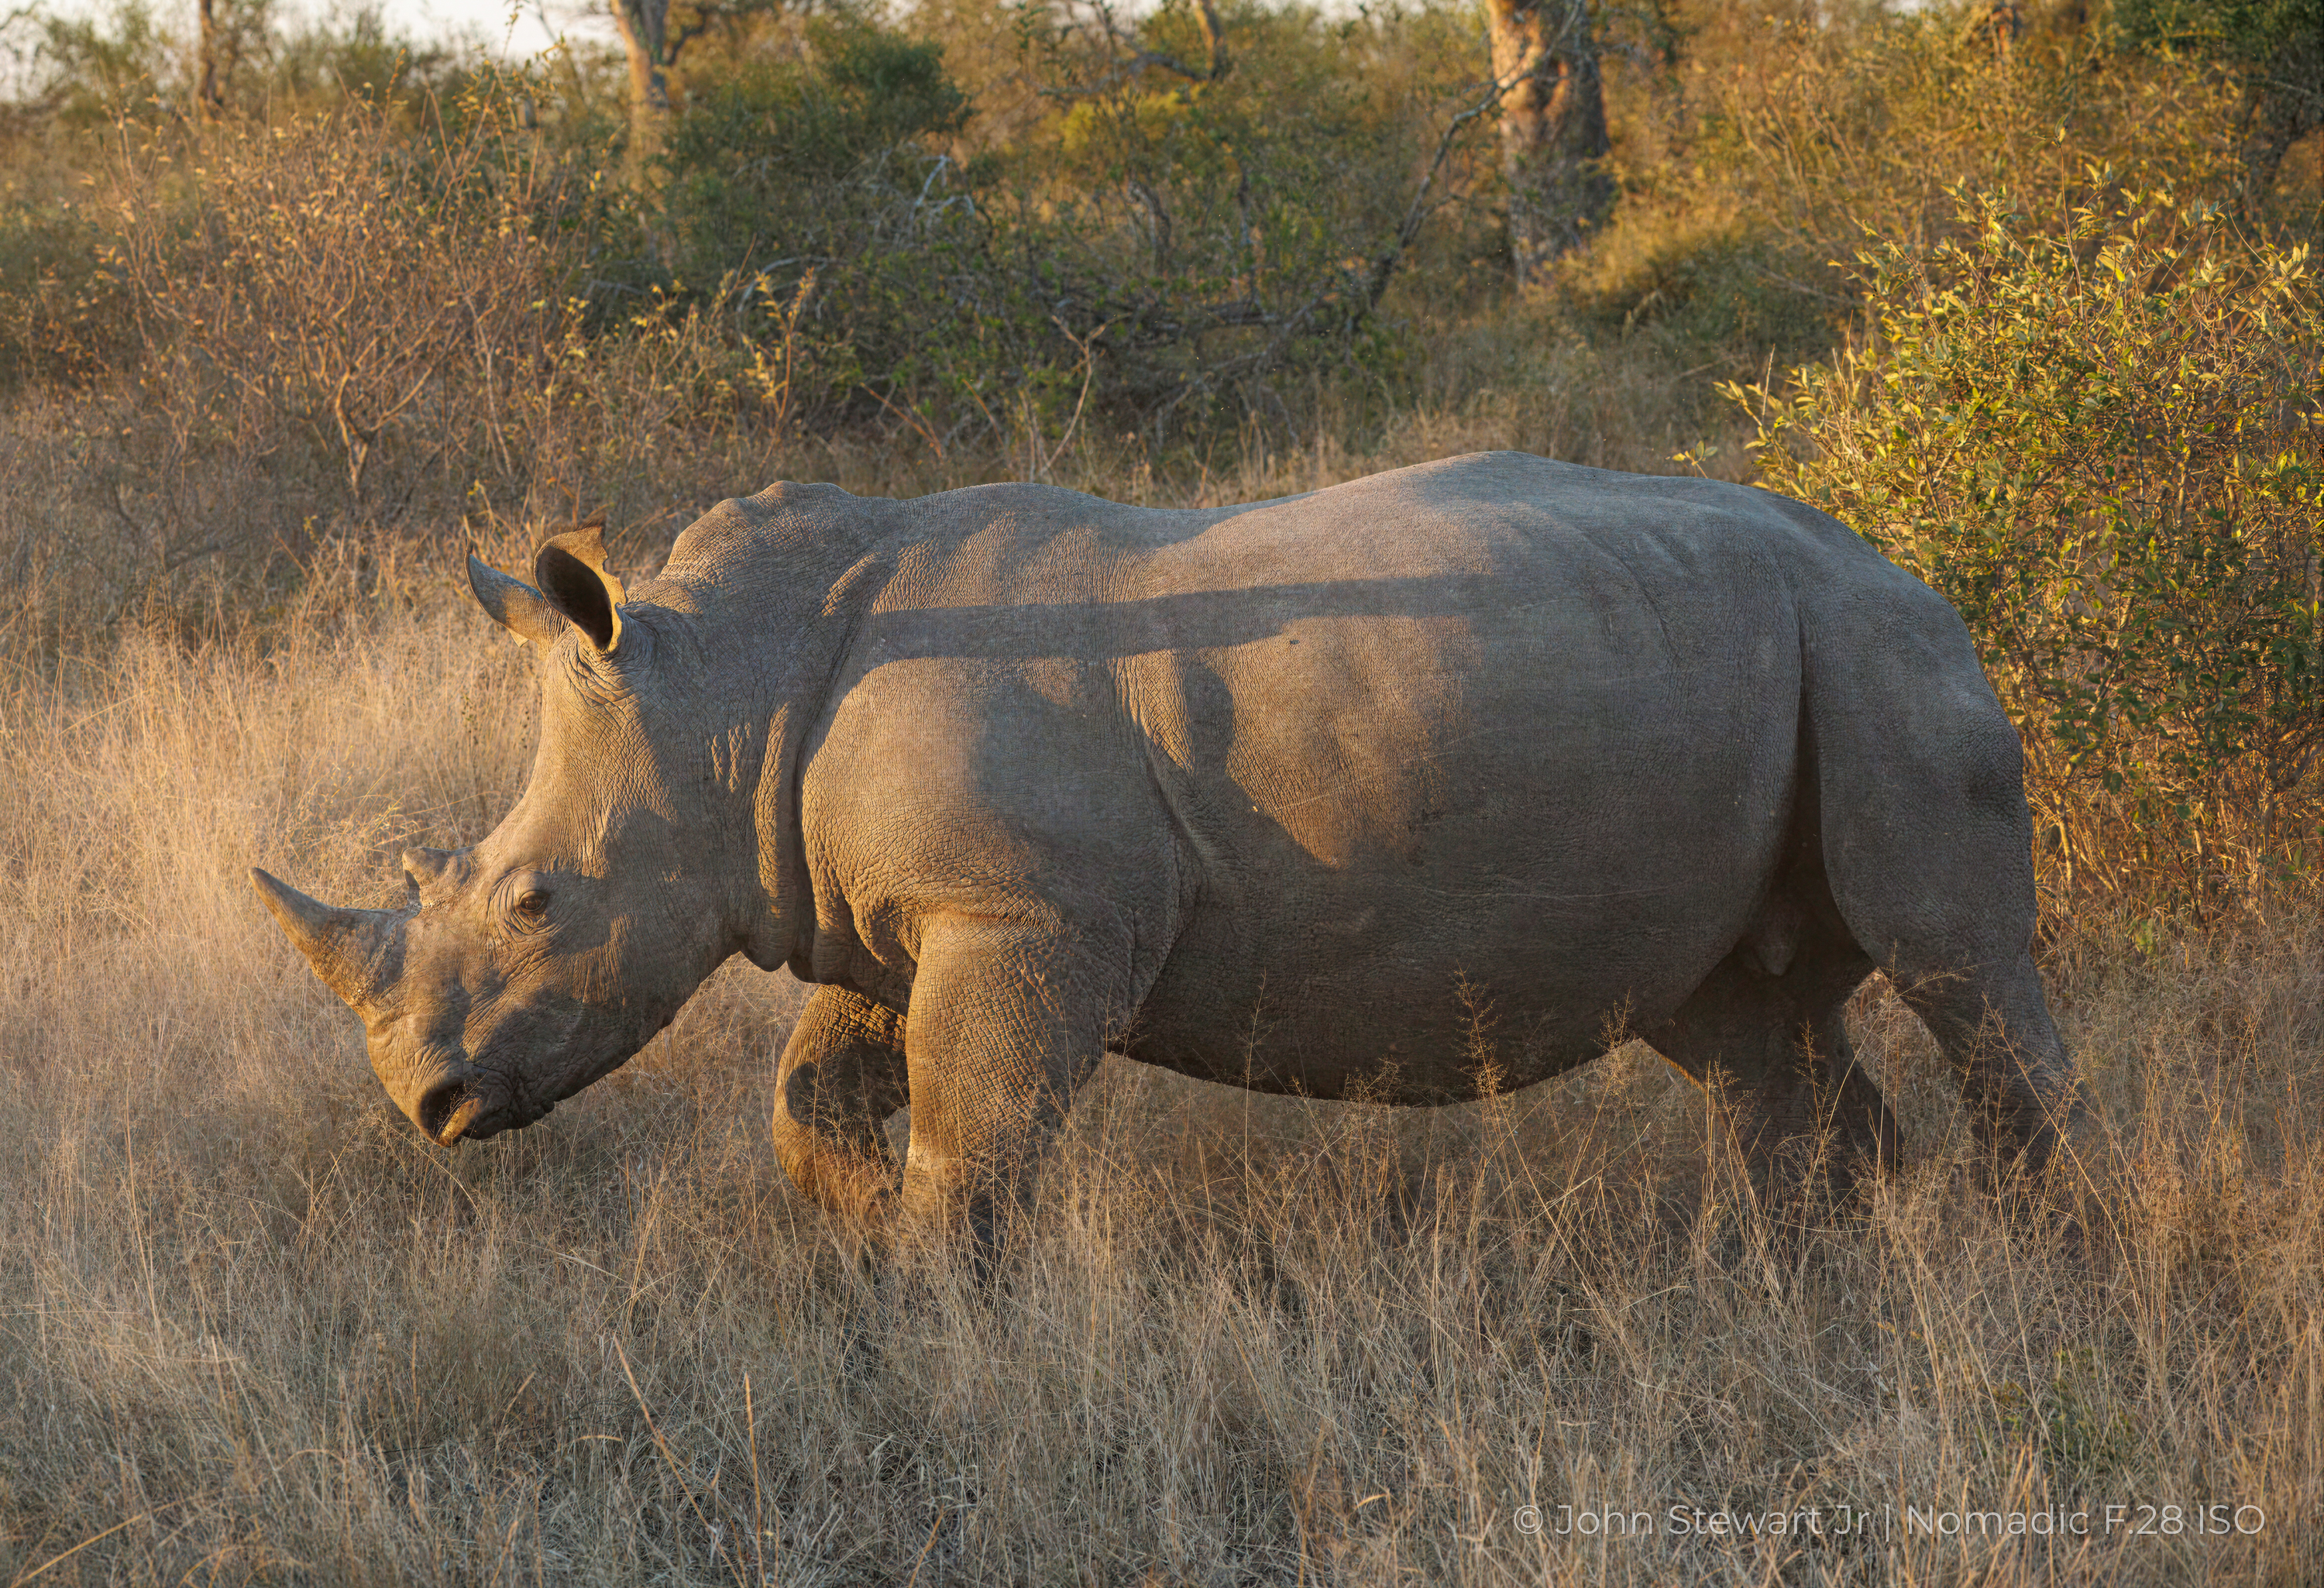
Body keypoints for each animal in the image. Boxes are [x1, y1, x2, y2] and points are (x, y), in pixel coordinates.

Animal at [253, 452, 2080, 1243]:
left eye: (537, 900)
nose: (428, 1111)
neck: (726, 697)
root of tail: (1904, 561)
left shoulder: (1024, 911)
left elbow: (976, 1133)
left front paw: (937, 1282)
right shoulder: (907, 905)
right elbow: (816, 1095)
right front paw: (866, 1223)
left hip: (1883, 648)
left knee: (1957, 963)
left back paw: (2036, 1266)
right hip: (1765, 657)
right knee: (1739, 1025)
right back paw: (1834, 1281)